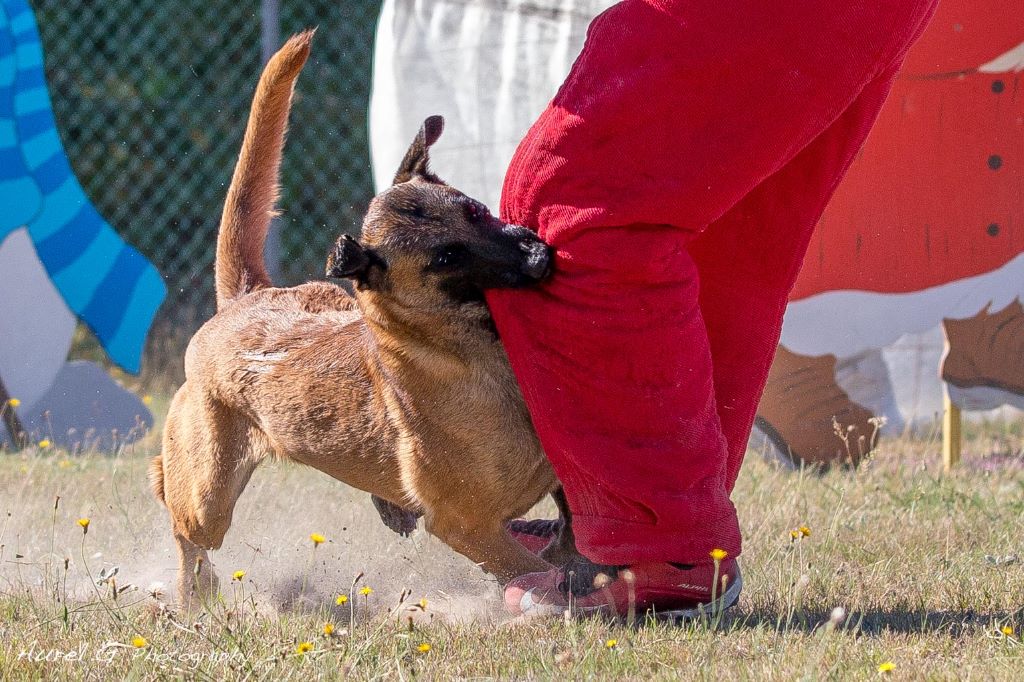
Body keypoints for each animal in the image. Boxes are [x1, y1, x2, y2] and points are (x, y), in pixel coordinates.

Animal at [149, 30, 577, 602]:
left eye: (475, 210)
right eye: (445, 258)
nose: (536, 256)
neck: (469, 353)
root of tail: (246, 299)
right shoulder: (465, 526)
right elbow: (533, 570)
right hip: (207, 496)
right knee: (182, 522)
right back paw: (195, 591)